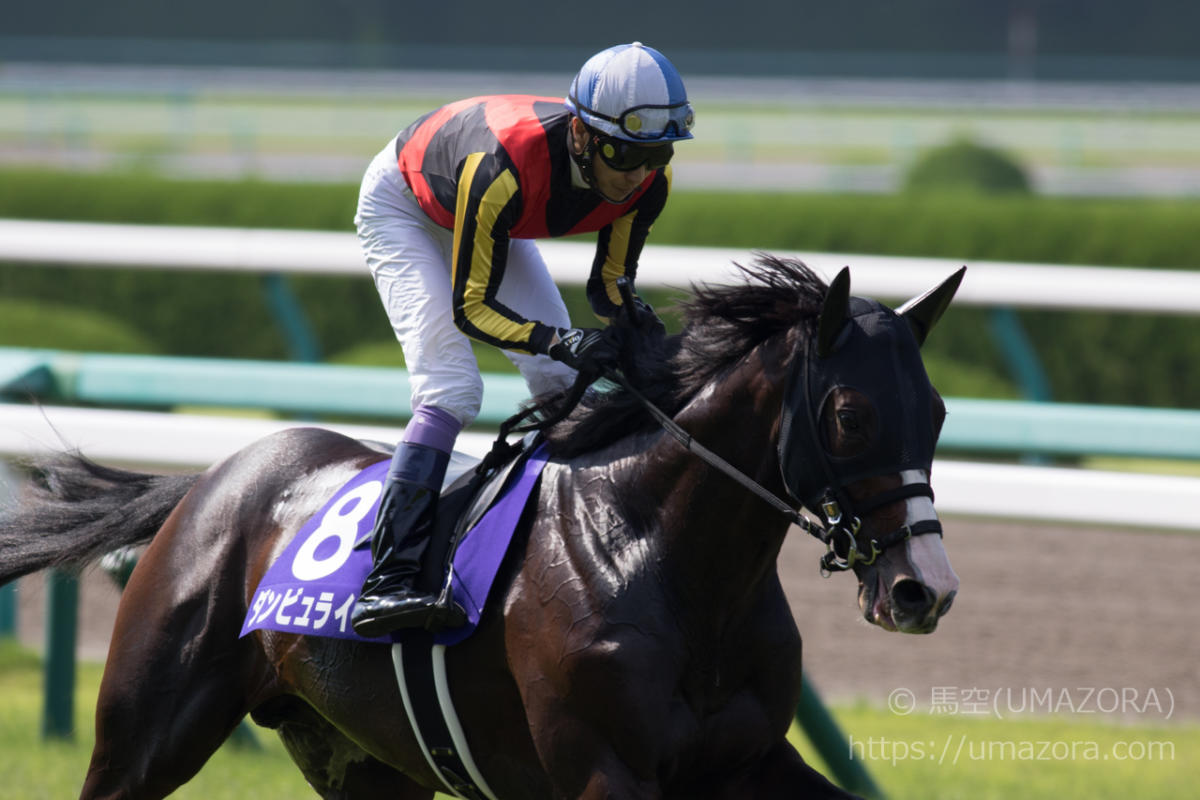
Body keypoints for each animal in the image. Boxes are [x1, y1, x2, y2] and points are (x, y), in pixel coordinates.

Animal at [0, 255, 962, 799]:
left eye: (940, 409)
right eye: (849, 415)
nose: (926, 589)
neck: (665, 561)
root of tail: (212, 480)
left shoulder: (748, 762)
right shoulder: (605, 770)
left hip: (367, 764)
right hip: (144, 737)